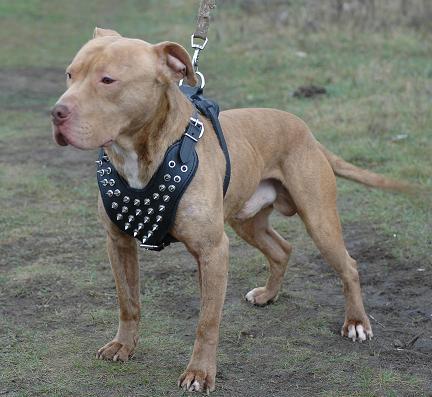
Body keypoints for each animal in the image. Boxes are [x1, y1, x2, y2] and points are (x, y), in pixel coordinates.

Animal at [49, 28, 408, 392]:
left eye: (108, 80)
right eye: (70, 74)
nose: (57, 113)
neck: (142, 153)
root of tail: (307, 131)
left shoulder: (212, 250)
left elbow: (207, 322)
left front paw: (199, 373)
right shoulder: (118, 243)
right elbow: (128, 301)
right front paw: (123, 345)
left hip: (319, 221)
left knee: (348, 265)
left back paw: (357, 323)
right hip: (247, 222)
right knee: (282, 249)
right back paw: (268, 295)